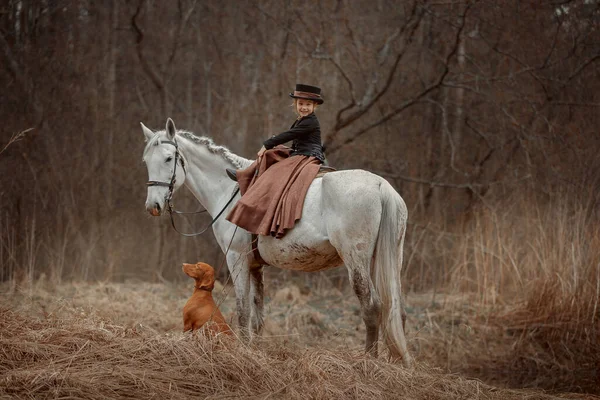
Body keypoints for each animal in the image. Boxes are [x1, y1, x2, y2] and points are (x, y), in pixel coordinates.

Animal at [143, 117, 410, 364]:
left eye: (168, 158)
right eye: (147, 161)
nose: (153, 206)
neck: (230, 191)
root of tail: (380, 185)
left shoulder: (237, 259)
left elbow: (243, 311)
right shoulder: (255, 266)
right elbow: (258, 316)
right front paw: (255, 352)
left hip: (356, 261)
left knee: (371, 307)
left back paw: (369, 360)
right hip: (388, 260)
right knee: (395, 309)